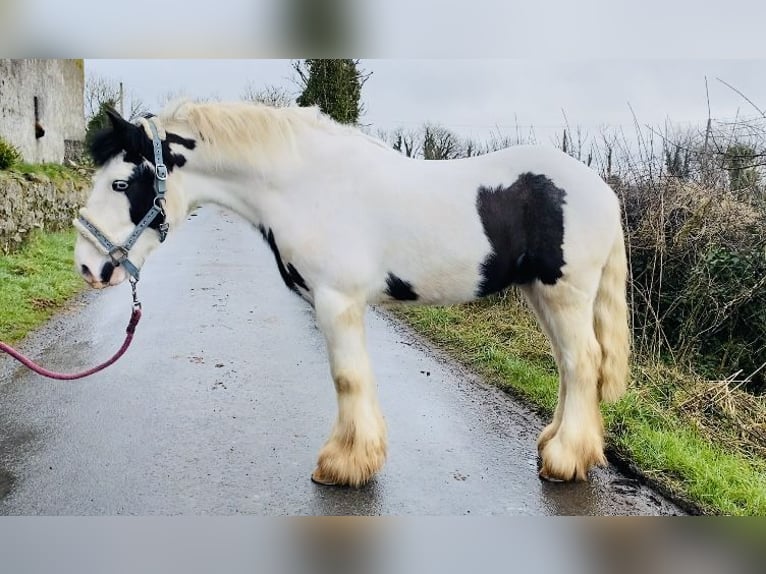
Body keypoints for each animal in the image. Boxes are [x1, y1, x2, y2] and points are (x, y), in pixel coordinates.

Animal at [75, 101, 632, 488]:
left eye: (121, 183)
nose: (86, 266)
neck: (304, 184)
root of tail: (603, 190)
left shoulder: (336, 300)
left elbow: (347, 378)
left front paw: (342, 466)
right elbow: (355, 377)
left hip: (564, 295)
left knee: (582, 361)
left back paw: (564, 461)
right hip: (543, 296)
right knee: (569, 366)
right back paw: (556, 446)